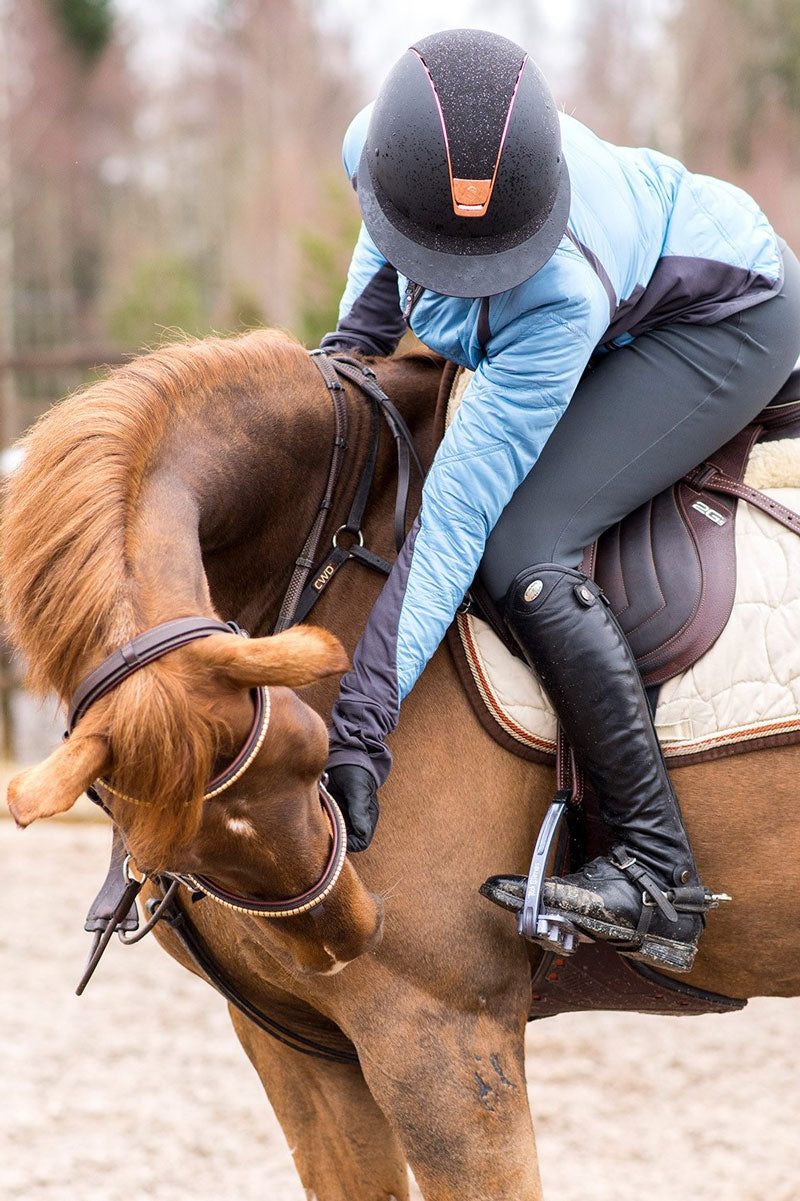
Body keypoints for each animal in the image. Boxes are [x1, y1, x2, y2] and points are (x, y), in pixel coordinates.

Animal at [4, 331, 797, 1201]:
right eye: (167, 836)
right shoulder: (294, 1042)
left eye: (314, 753)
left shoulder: (442, 1036)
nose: (348, 936)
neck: (325, 544)